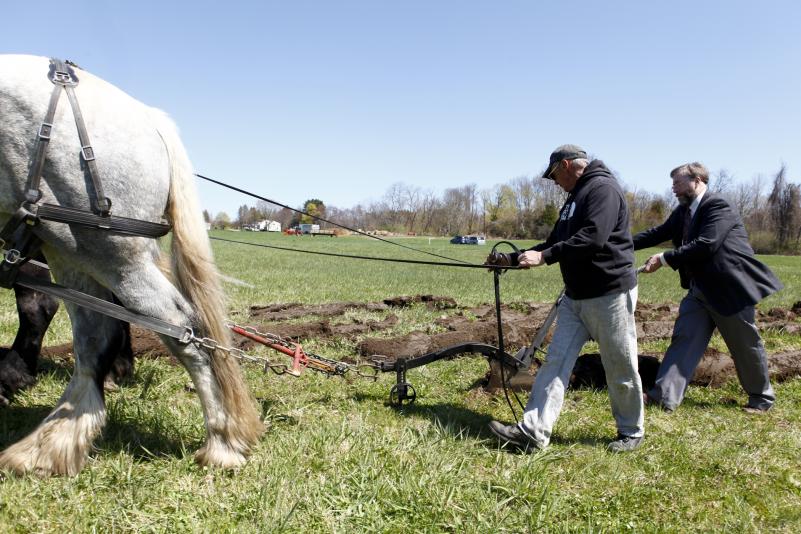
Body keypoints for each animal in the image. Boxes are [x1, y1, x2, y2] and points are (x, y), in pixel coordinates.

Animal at [0, 54, 263, 475]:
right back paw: (50, 444)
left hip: (107, 251)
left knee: (181, 327)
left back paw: (222, 441)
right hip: (71, 248)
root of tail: (149, 118)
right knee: (94, 336)